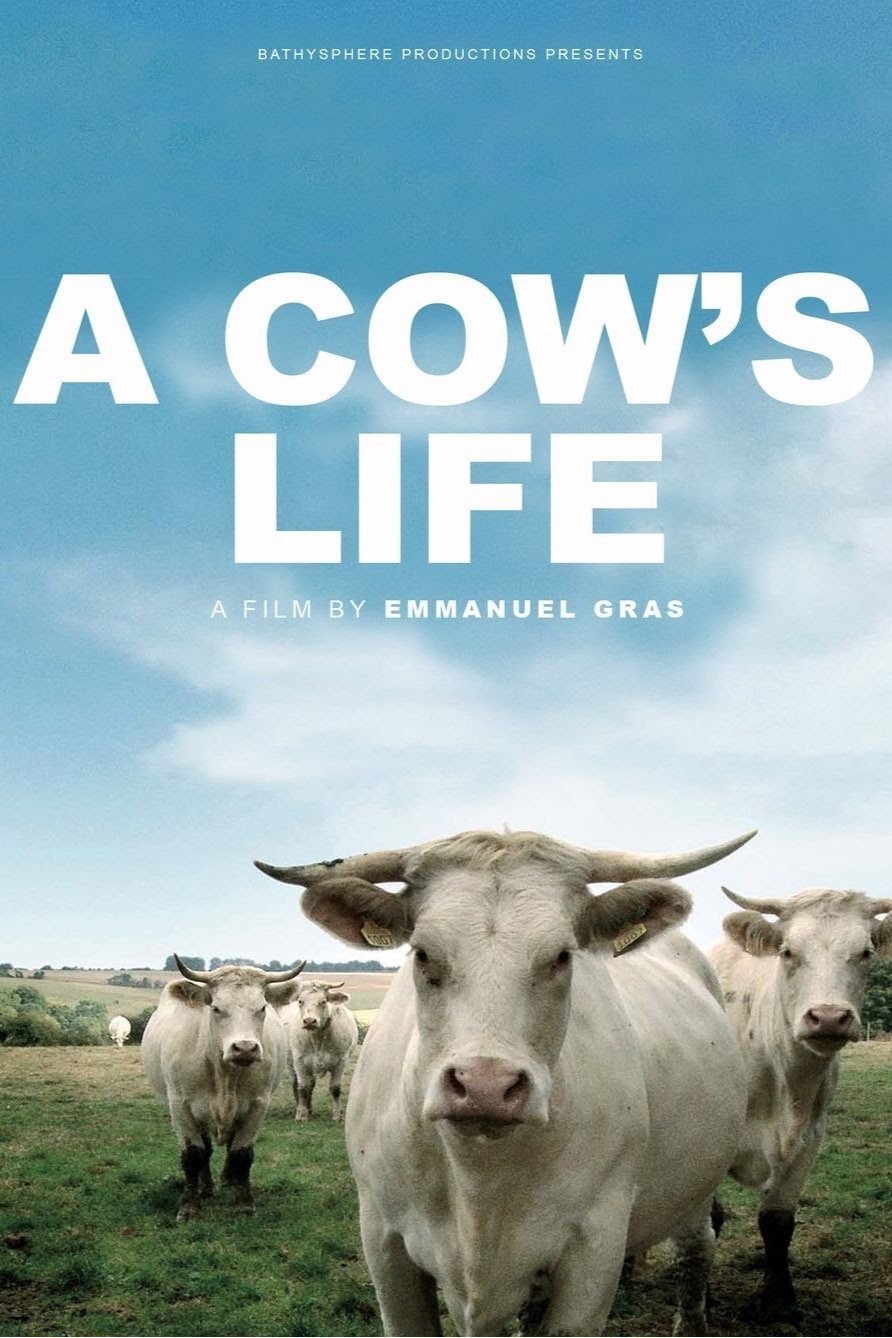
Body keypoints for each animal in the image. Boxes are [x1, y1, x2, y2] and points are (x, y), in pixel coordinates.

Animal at [141, 955, 305, 1221]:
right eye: (216, 1008)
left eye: (262, 1008)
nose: (245, 1048)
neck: (225, 1074)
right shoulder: (180, 1107)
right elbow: (194, 1155)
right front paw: (189, 1207)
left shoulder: (257, 1105)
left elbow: (241, 1154)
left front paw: (244, 1203)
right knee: (206, 1150)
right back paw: (206, 1188)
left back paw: (228, 1181)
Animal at [282, 980, 359, 1122]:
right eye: (300, 1001)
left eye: (323, 1001)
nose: (309, 1021)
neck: (318, 1038)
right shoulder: (299, 1061)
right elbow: (302, 1087)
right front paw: (301, 1115)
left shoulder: (341, 1061)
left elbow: (335, 1088)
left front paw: (337, 1115)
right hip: (290, 1063)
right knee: (297, 1084)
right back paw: (300, 1108)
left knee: (311, 1085)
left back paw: (310, 1109)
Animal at [709, 885, 892, 1317]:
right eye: (788, 951)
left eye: (866, 952)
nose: (828, 1017)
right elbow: (711, 1219)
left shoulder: (809, 1139)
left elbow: (777, 1222)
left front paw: (778, 1301)